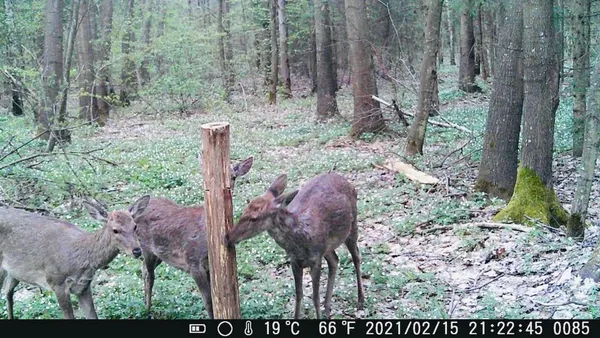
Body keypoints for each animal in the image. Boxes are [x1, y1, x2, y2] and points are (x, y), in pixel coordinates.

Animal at [0, 195, 150, 320]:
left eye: (135, 226)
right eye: (115, 230)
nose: (137, 251)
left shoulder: (83, 287)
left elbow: (92, 316)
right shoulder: (56, 282)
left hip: (15, 272)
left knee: (8, 292)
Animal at [135, 156, 254, 320]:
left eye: (234, 176)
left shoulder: (209, 267)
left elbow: (215, 299)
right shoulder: (193, 262)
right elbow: (208, 301)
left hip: (159, 254)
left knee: (144, 270)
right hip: (145, 246)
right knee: (149, 274)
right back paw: (147, 310)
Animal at [226, 173, 364, 318]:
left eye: (254, 218)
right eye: (244, 210)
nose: (229, 236)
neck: (300, 240)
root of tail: (346, 181)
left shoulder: (316, 259)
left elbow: (315, 297)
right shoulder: (295, 261)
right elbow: (298, 294)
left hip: (352, 225)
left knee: (356, 256)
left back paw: (360, 300)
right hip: (327, 247)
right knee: (335, 260)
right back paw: (327, 309)